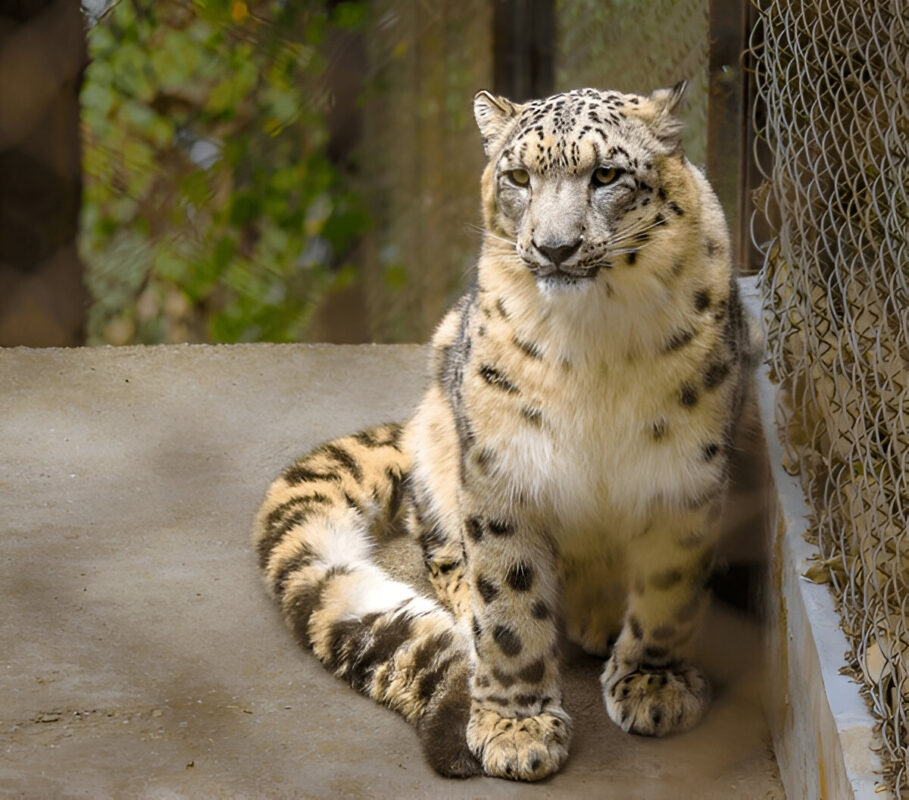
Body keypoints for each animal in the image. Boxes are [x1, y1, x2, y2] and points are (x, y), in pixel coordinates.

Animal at [252, 82, 760, 782]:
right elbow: (512, 605)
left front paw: (654, 685)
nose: (554, 248)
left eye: (606, 175)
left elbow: (669, 589)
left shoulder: (686, 469)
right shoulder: (503, 465)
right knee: (439, 542)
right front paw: (516, 729)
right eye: (518, 177)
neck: (597, 340)